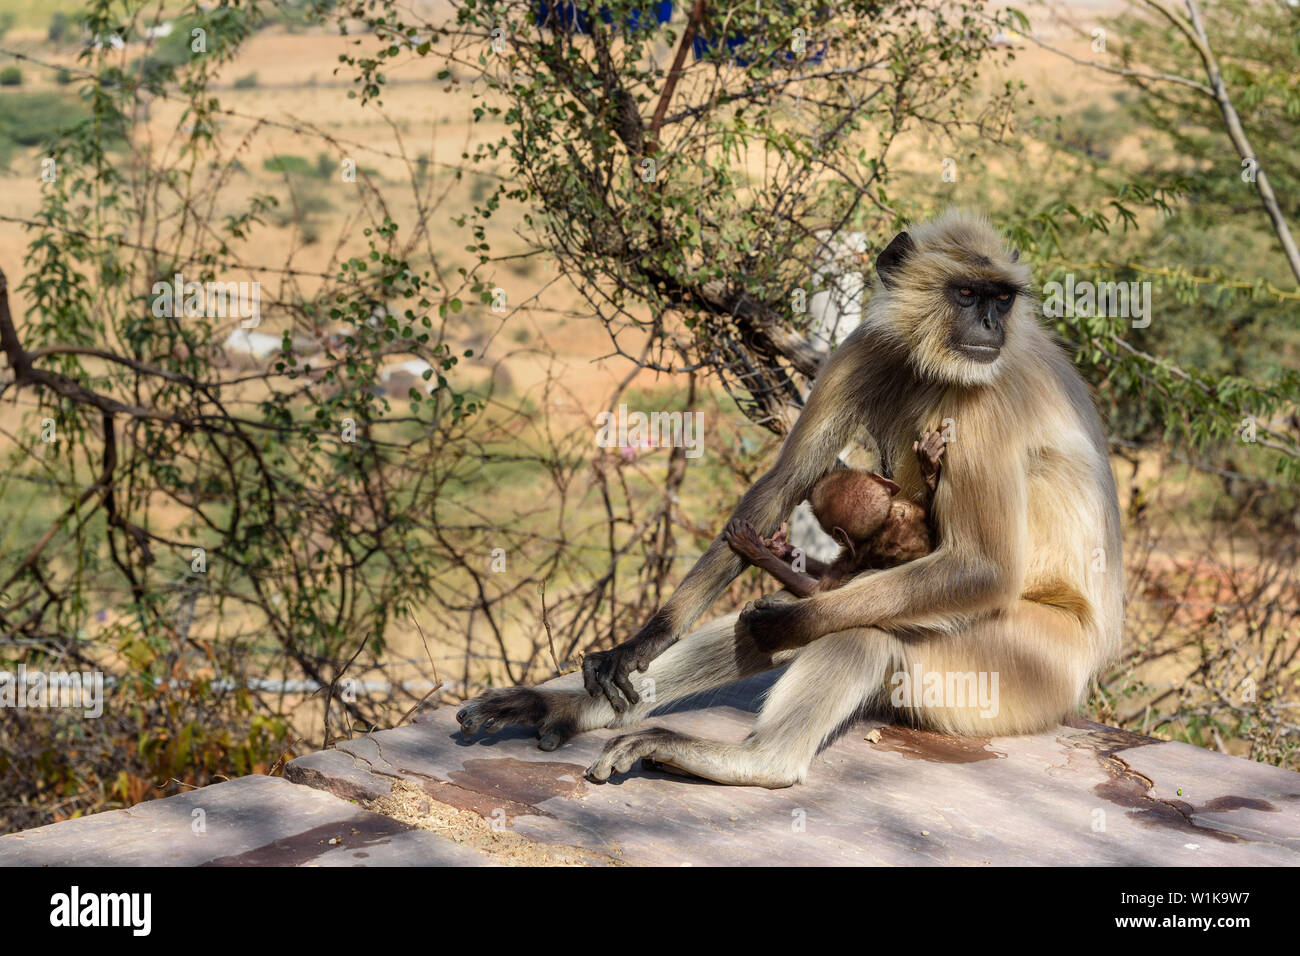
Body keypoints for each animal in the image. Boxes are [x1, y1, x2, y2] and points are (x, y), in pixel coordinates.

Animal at [454, 208, 1118, 785]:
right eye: (967, 294)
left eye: (1001, 298)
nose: (990, 326)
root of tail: (1084, 666)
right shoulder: (864, 346)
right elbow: (784, 482)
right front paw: (642, 640)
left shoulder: (987, 398)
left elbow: (983, 566)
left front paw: (795, 614)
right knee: (774, 625)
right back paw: (564, 710)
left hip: (1020, 671)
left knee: (865, 632)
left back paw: (757, 757)